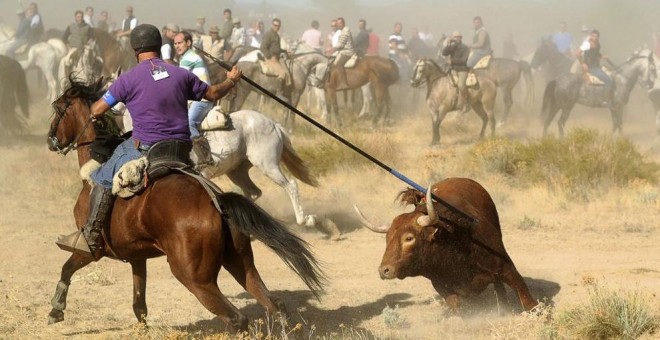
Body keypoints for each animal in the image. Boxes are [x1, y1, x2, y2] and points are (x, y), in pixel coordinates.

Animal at [45, 77, 324, 332]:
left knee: (237, 317)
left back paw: (306, 219)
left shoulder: (93, 250)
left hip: (195, 275)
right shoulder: (137, 255)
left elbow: (67, 268)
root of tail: (218, 203)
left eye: (58, 108)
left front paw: (56, 310)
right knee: (273, 303)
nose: (50, 139)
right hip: (241, 257)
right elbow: (139, 299)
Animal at [356, 178, 536, 314]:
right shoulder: (441, 285)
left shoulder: (507, 268)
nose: (384, 270)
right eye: (387, 239)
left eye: (409, 238)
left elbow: (526, 299)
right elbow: (458, 307)